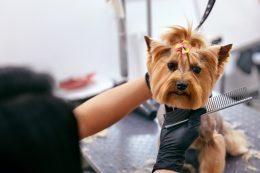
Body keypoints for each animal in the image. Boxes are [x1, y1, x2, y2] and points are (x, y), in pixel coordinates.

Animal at [144, 25, 248, 172]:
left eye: (196, 69)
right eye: (171, 66)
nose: (181, 85)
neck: (183, 108)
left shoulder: (211, 140)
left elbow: (211, 163)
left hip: (226, 134)